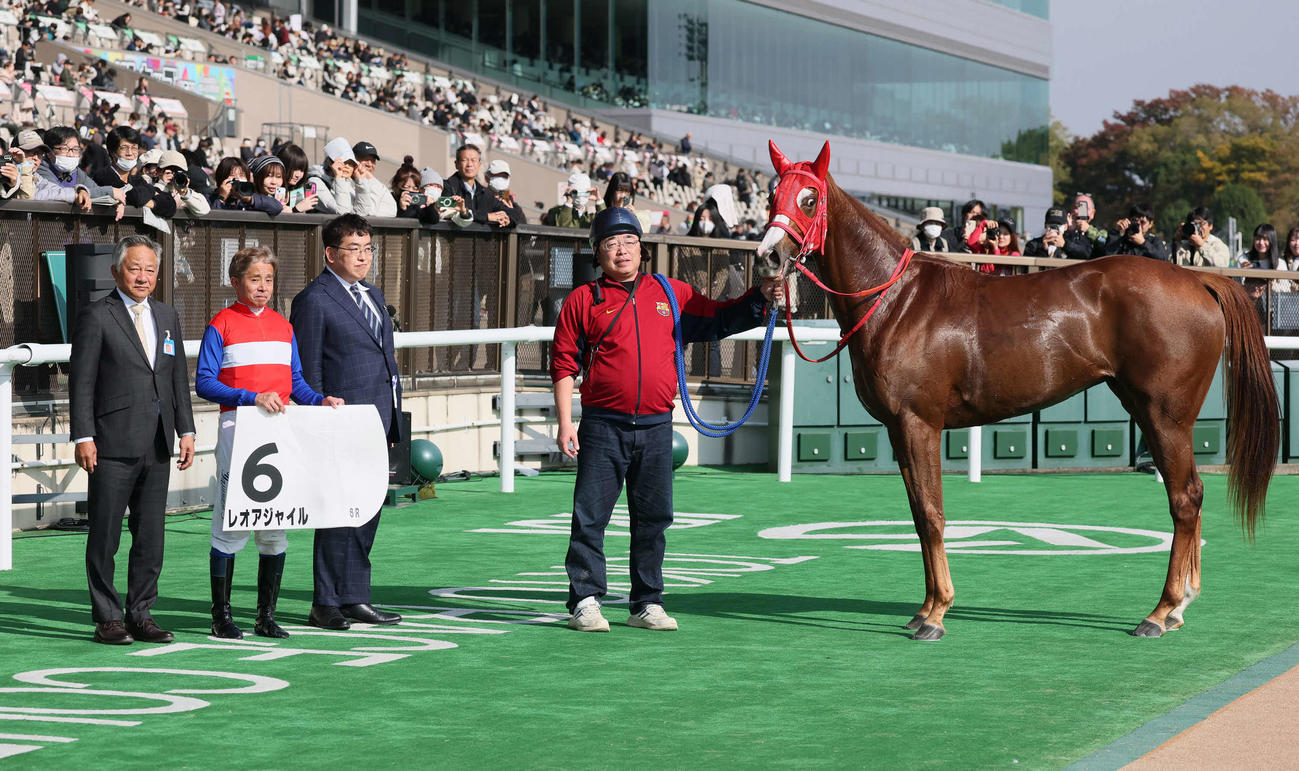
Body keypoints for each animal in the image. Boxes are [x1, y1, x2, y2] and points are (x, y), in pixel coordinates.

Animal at [756, 140, 1279, 641]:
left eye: (809, 198)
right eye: (771, 197)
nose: (768, 258)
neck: (897, 301)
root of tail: (1198, 280)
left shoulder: (918, 423)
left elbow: (931, 513)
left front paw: (937, 614)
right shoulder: (896, 429)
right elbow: (917, 515)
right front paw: (924, 608)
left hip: (1165, 415)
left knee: (1185, 499)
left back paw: (1162, 610)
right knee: (1192, 495)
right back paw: (1180, 606)